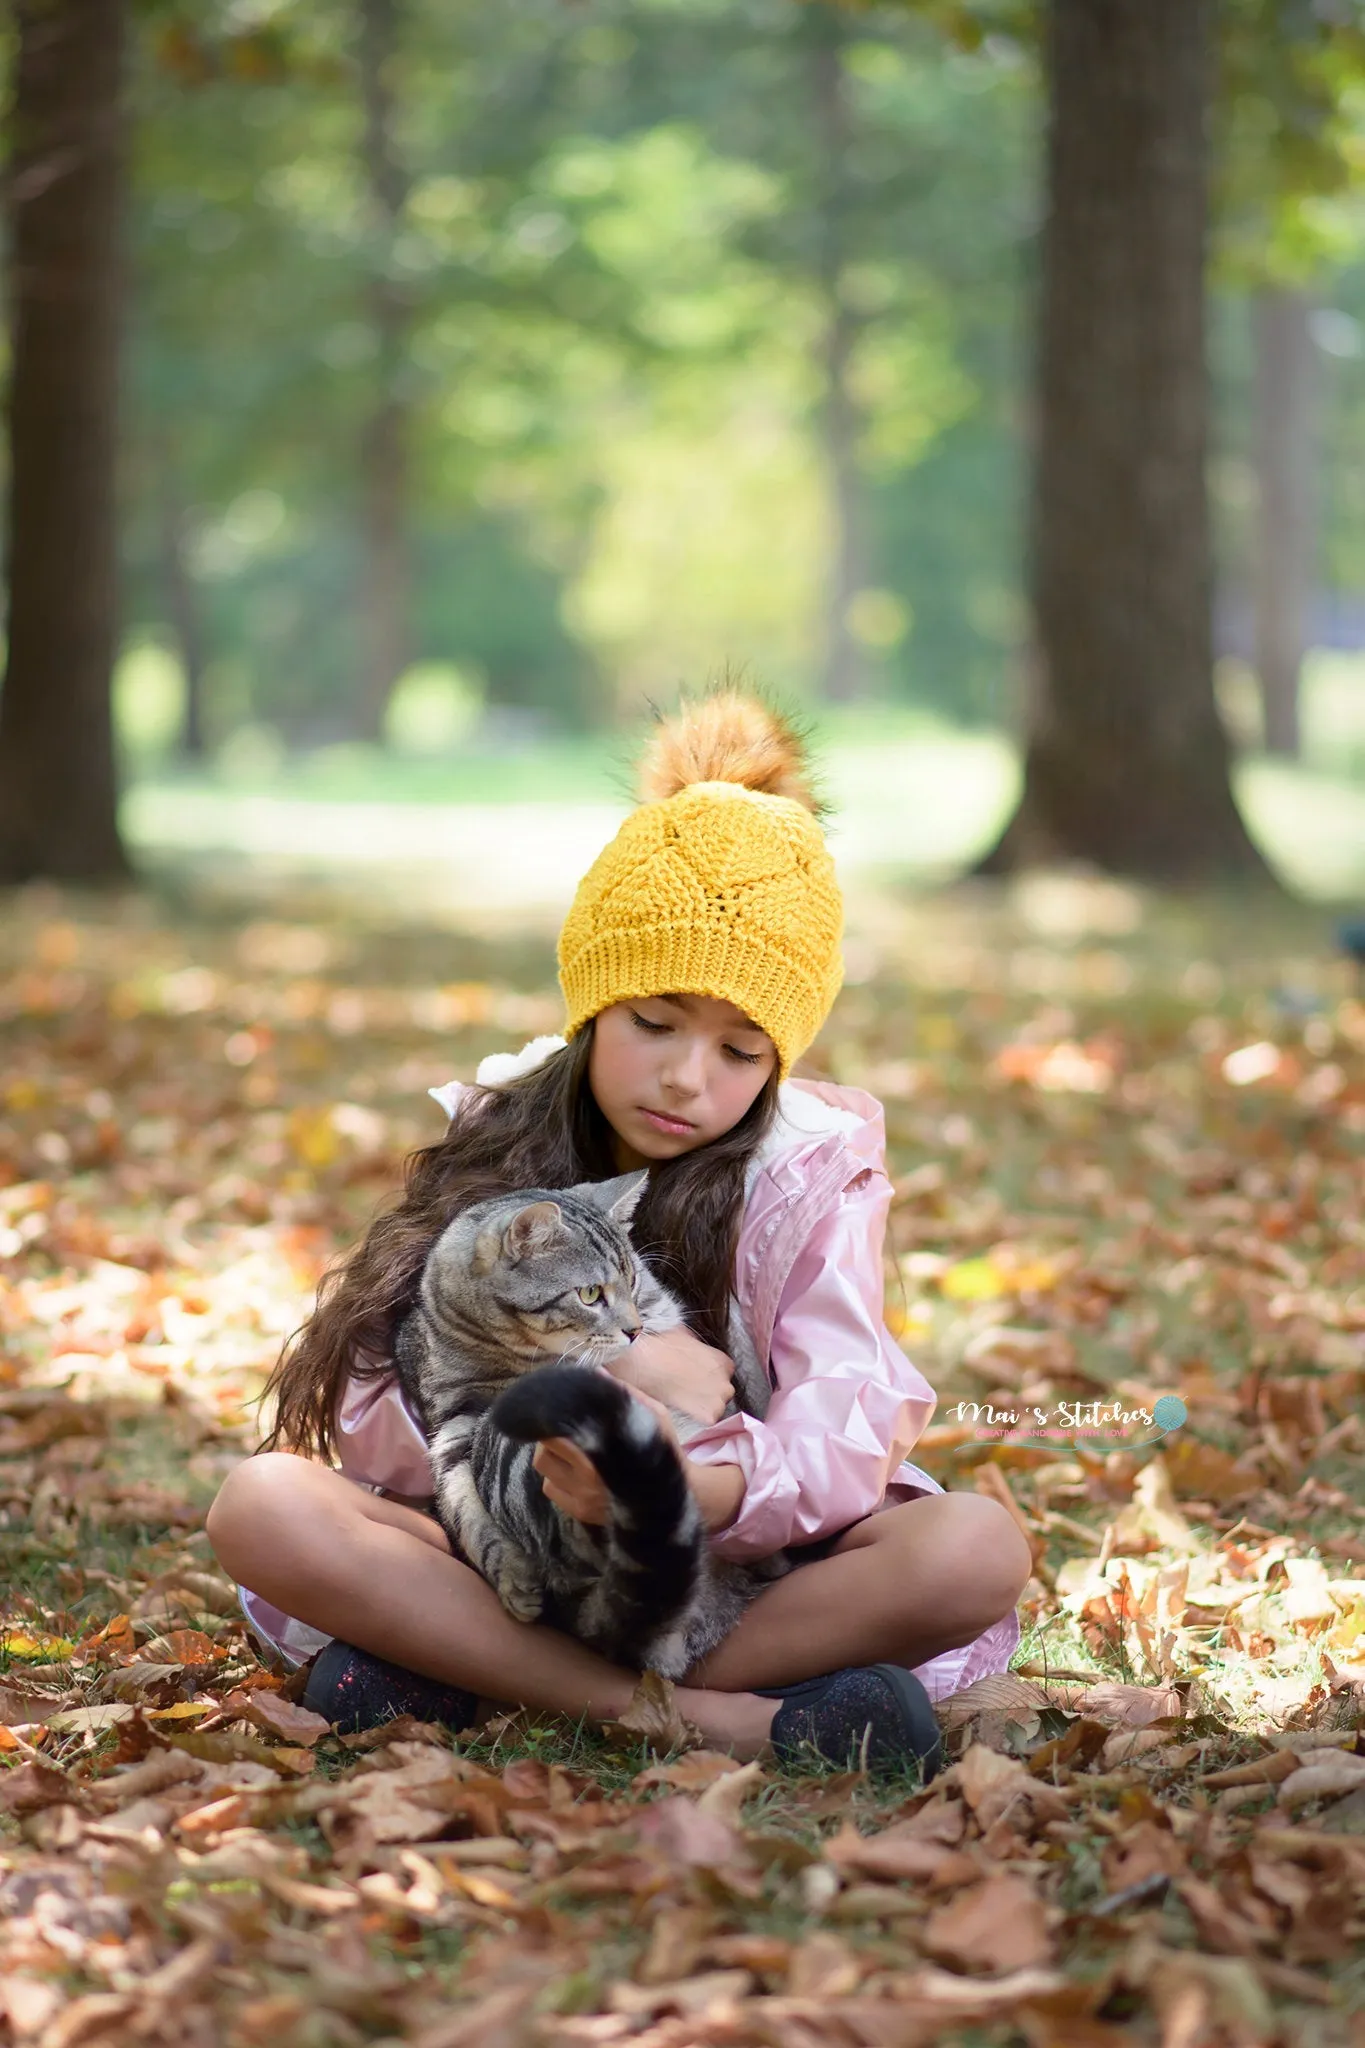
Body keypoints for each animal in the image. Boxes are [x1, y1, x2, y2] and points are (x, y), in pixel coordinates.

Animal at [388, 1179, 789, 1671]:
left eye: (632, 1282)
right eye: (591, 1294)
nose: (633, 1330)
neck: (509, 1358)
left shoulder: (656, 1312)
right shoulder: (452, 1422)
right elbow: (465, 1510)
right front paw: (512, 1577)